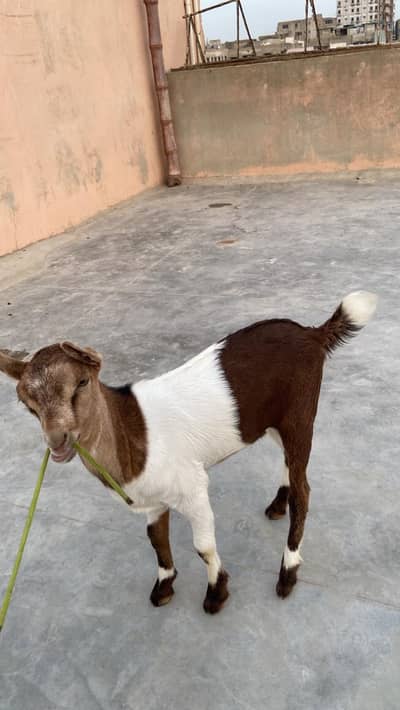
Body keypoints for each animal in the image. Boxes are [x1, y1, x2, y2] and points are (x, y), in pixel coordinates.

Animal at [0, 291, 377, 613]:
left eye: (81, 382)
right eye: (26, 403)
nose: (59, 441)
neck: (131, 433)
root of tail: (313, 335)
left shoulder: (192, 486)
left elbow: (203, 546)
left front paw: (216, 593)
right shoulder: (152, 500)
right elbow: (156, 539)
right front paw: (165, 586)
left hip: (300, 410)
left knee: (304, 490)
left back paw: (287, 571)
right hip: (273, 421)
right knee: (289, 463)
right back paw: (277, 505)